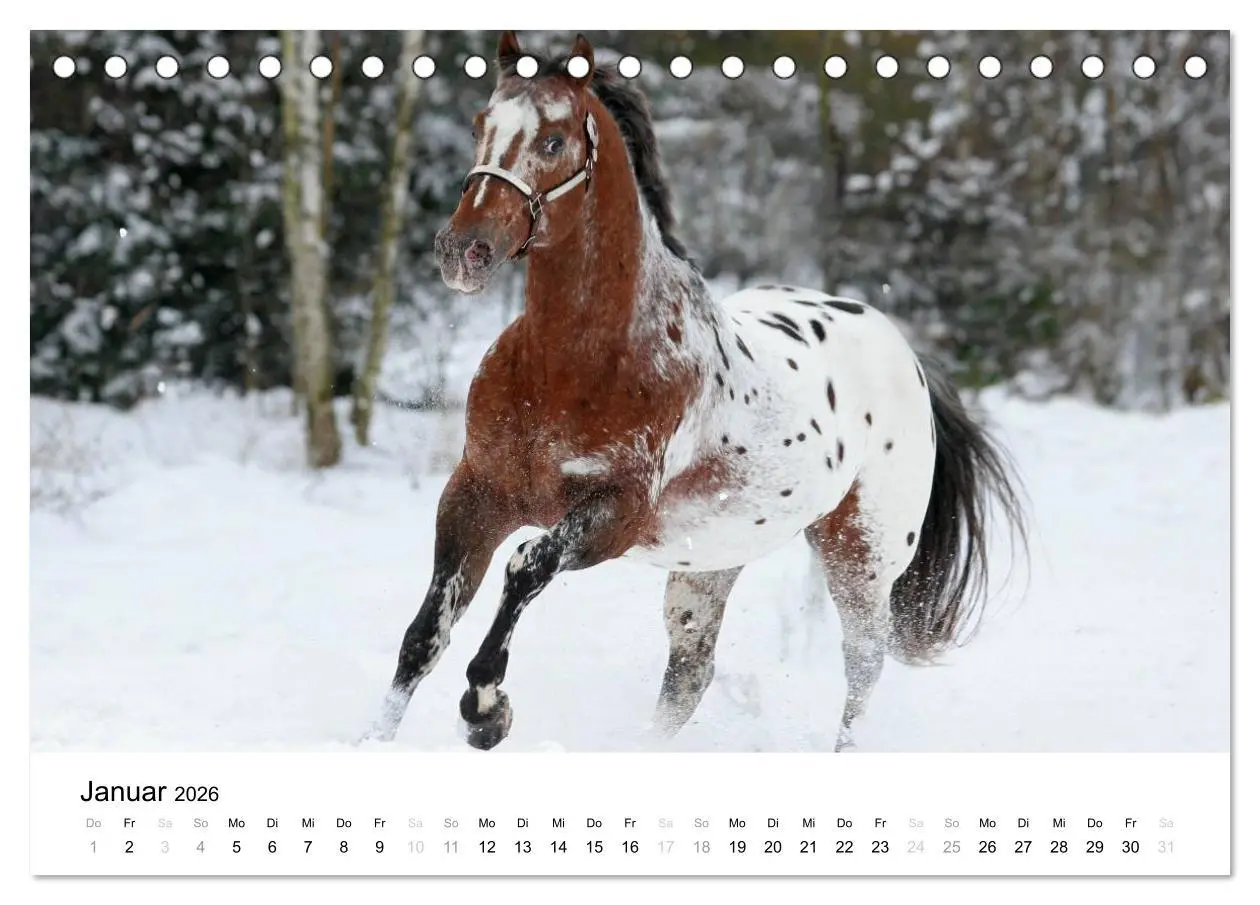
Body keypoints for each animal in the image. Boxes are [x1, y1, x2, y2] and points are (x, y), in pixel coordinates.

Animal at [365, 32, 1026, 752]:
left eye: (553, 140)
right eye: (481, 125)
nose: (464, 250)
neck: (570, 367)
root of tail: (903, 352)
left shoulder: (614, 515)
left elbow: (525, 567)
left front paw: (487, 710)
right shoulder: (475, 495)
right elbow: (422, 639)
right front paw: (373, 741)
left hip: (862, 554)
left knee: (863, 666)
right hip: (711, 561)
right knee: (689, 674)